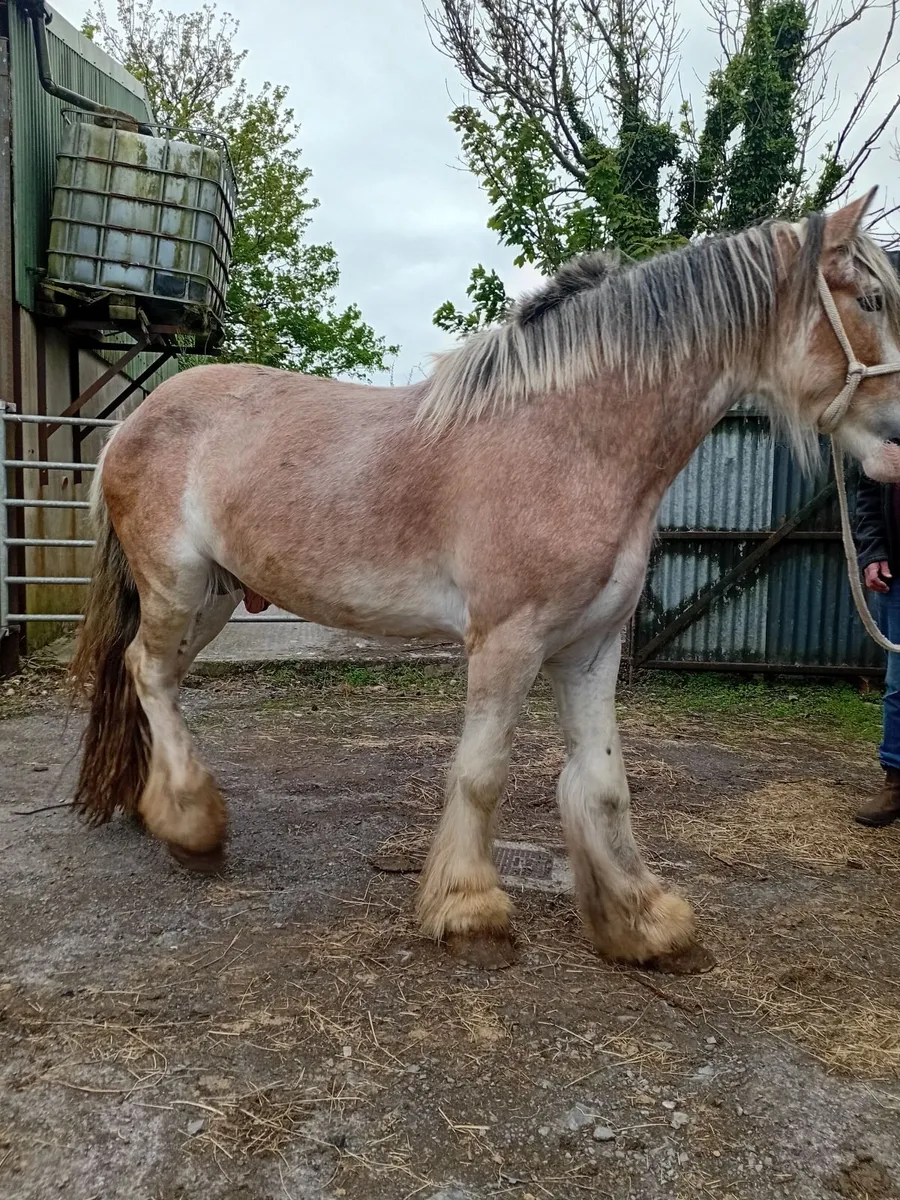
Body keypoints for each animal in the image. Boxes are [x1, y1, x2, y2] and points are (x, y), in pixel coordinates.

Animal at [71, 190, 900, 973]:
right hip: (177, 586)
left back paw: (156, 807)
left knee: (154, 678)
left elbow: (603, 783)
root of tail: (133, 421)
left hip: (211, 597)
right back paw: (192, 825)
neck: (571, 439)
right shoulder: (508, 641)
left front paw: (643, 921)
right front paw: (471, 913)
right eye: (870, 300)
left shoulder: (590, 648)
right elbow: (482, 774)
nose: (897, 443)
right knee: (148, 672)